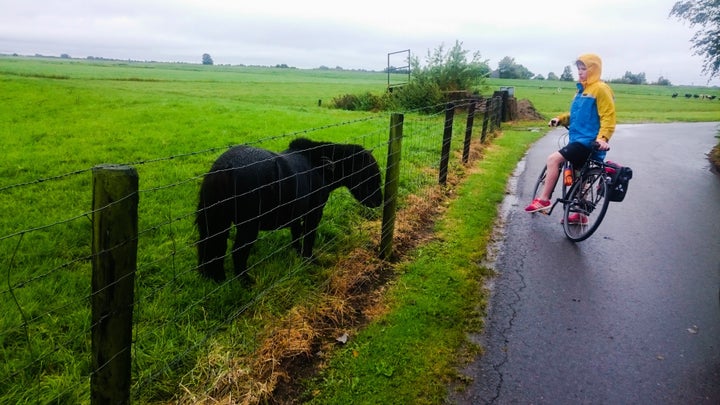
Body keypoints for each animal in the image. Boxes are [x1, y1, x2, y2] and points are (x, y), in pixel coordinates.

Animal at [191, 137, 382, 282]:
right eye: (370, 174)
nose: (379, 201)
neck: (321, 166)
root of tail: (225, 167)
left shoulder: (296, 213)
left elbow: (296, 234)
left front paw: (297, 253)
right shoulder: (314, 213)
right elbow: (309, 236)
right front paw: (308, 259)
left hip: (214, 223)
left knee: (209, 247)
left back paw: (212, 278)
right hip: (248, 227)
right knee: (237, 253)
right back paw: (246, 282)